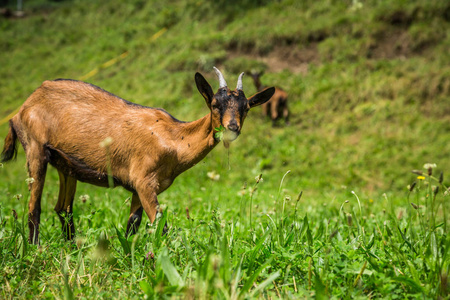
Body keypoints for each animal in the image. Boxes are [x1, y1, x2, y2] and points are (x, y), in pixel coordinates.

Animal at [0, 68, 274, 244]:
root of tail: (23, 108)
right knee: (34, 207)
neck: (174, 139)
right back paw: (35, 249)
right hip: (35, 150)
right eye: (215, 104)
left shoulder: (138, 187)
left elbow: (133, 225)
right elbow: (160, 225)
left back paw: (70, 249)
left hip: (65, 165)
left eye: (246, 108)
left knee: (63, 209)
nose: (232, 127)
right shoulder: (144, 182)